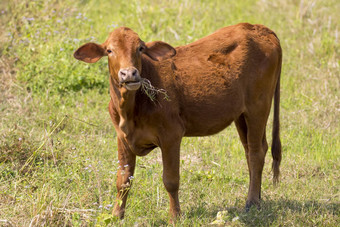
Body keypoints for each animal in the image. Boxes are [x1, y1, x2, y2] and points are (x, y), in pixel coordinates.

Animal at [74, 23, 282, 222]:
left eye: (140, 48)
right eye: (109, 50)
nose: (129, 74)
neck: (130, 110)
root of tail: (259, 28)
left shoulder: (171, 135)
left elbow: (171, 180)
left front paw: (174, 216)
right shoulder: (122, 138)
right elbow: (123, 180)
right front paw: (117, 215)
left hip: (258, 106)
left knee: (256, 152)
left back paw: (251, 202)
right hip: (241, 114)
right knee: (253, 150)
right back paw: (258, 198)